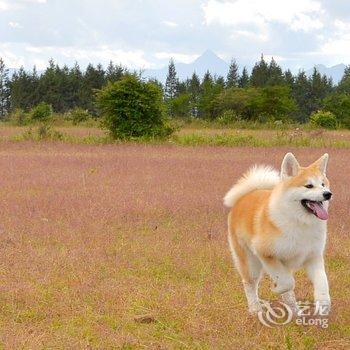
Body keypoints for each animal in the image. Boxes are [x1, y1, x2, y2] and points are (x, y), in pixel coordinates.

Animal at [223, 153, 332, 314]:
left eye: (323, 184)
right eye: (309, 186)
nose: (328, 194)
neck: (300, 222)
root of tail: (244, 196)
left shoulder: (313, 257)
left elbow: (322, 282)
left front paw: (323, 304)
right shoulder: (266, 254)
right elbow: (287, 282)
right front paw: (275, 289)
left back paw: (294, 311)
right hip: (250, 263)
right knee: (249, 284)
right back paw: (255, 309)